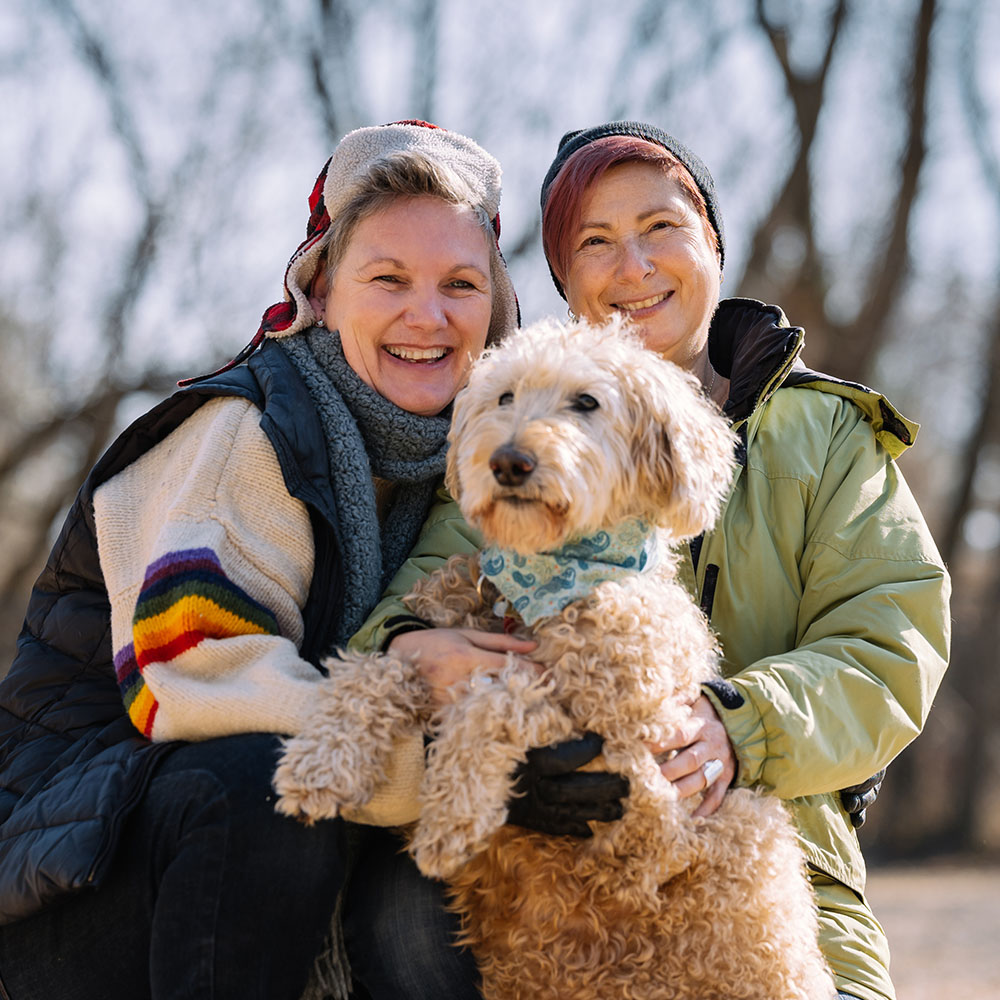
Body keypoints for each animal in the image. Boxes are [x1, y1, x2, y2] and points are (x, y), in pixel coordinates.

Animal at [272, 318, 836, 1000]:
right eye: (504, 396)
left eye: (586, 403)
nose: (508, 461)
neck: (542, 585)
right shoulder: (439, 648)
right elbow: (376, 670)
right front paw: (319, 764)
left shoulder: (642, 771)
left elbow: (495, 694)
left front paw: (451, 818)